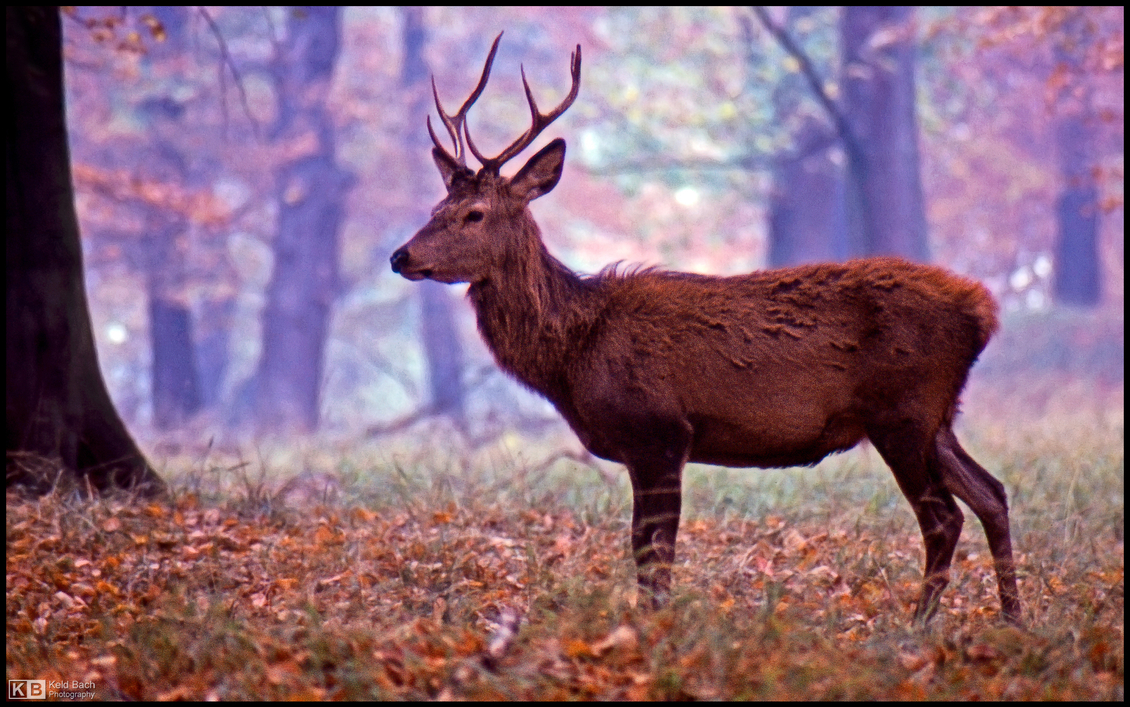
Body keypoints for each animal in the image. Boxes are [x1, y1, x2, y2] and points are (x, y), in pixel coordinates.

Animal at [390, 34, 1021, 624]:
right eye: (434, 208)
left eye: (473, 214)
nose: (400, 255)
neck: (574, 352)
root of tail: (982, 310)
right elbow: (645, 551)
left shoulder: (660, 429)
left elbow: (653, 552)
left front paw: (654, 628)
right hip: (937, 416)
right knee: (992, 493)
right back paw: (1013, 618)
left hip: (902, 411)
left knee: (945, 517)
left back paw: (917, 626)